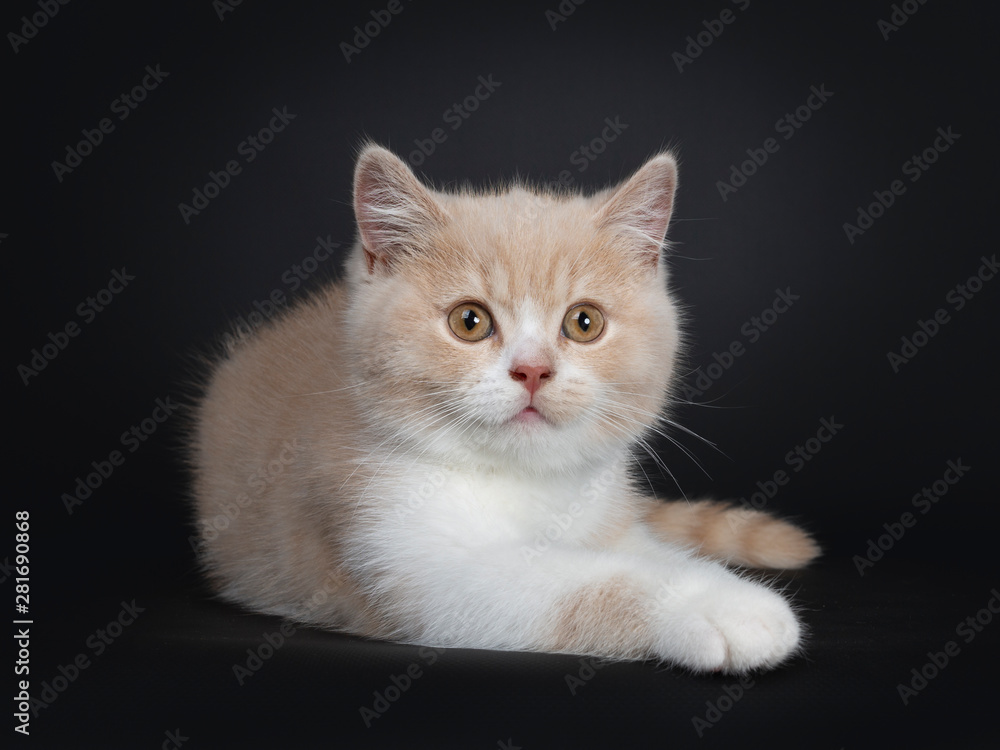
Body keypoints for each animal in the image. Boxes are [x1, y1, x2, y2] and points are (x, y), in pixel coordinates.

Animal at [189, 144, 820, 672]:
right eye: (469, 321)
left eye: (584, 322)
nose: (533, 370)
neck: (522, 479)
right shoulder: (405, 555)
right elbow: (570, 583)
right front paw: (727, 609)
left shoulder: (606, 519)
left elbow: (641, 552)